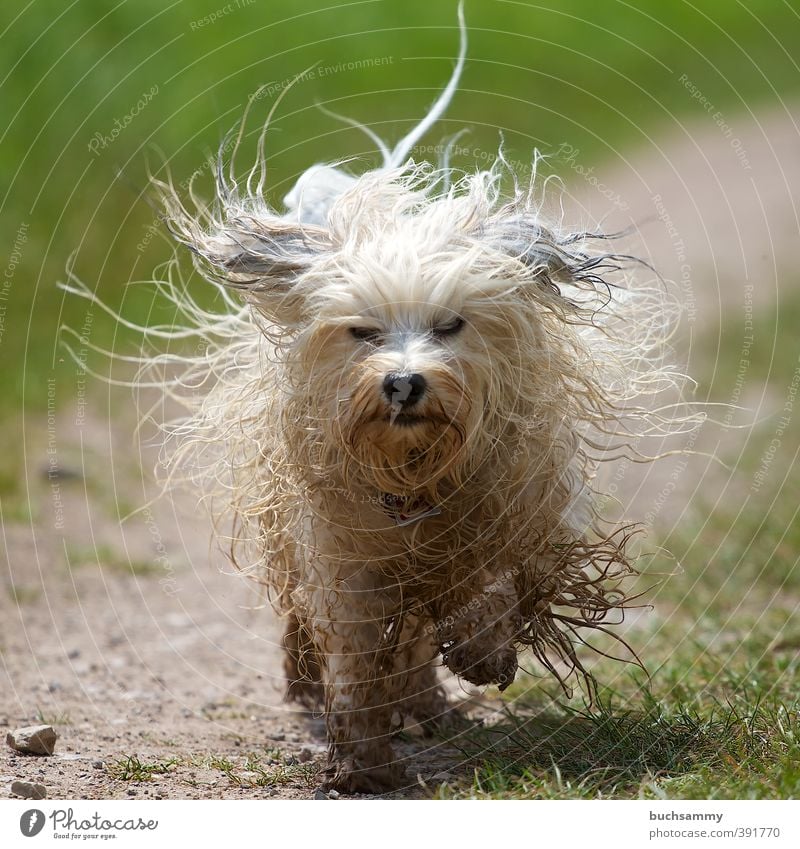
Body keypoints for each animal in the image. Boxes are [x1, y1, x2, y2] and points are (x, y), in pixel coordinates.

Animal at [67, 9, 692, 792]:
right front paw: (361, 759)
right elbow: (357, 655)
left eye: (450, 324)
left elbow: (493, 588)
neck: (416, 469)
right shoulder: (347, 556)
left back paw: (433, 700)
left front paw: (480, 652)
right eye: (363, 332)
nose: (403, 381)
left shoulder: (516, 515)